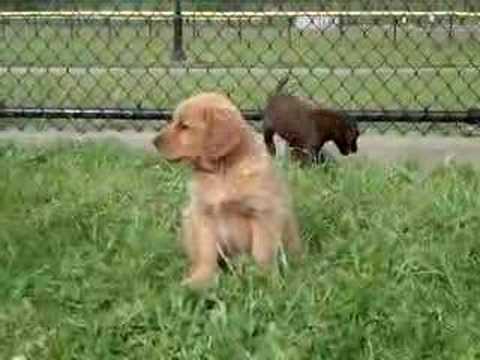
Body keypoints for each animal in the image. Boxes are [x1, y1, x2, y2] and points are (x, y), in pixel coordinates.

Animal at [152, 92, 300, 286]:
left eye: (184, 126)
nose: (154, 142)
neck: (221, 173)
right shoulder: (203, 214)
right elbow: (206, 253)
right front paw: (201, 279)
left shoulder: (263, 214)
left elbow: (262, 252)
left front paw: (265, 278)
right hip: (188, 217)